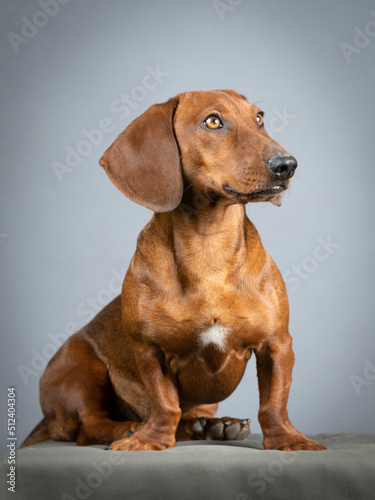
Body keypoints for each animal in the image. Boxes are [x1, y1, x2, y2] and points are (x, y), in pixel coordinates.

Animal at [21, 91, 326, 454]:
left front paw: (289, 440)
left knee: (187, 417)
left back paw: (213, 426)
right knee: (89, 427)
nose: (287, 165)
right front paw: (150, 441)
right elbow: (165, 404)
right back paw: (129, 429)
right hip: (82, 370)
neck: (209, 247)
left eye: (259, 118)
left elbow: (274, 403)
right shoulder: (150, 350)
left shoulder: (277, 344)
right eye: (213, 121)